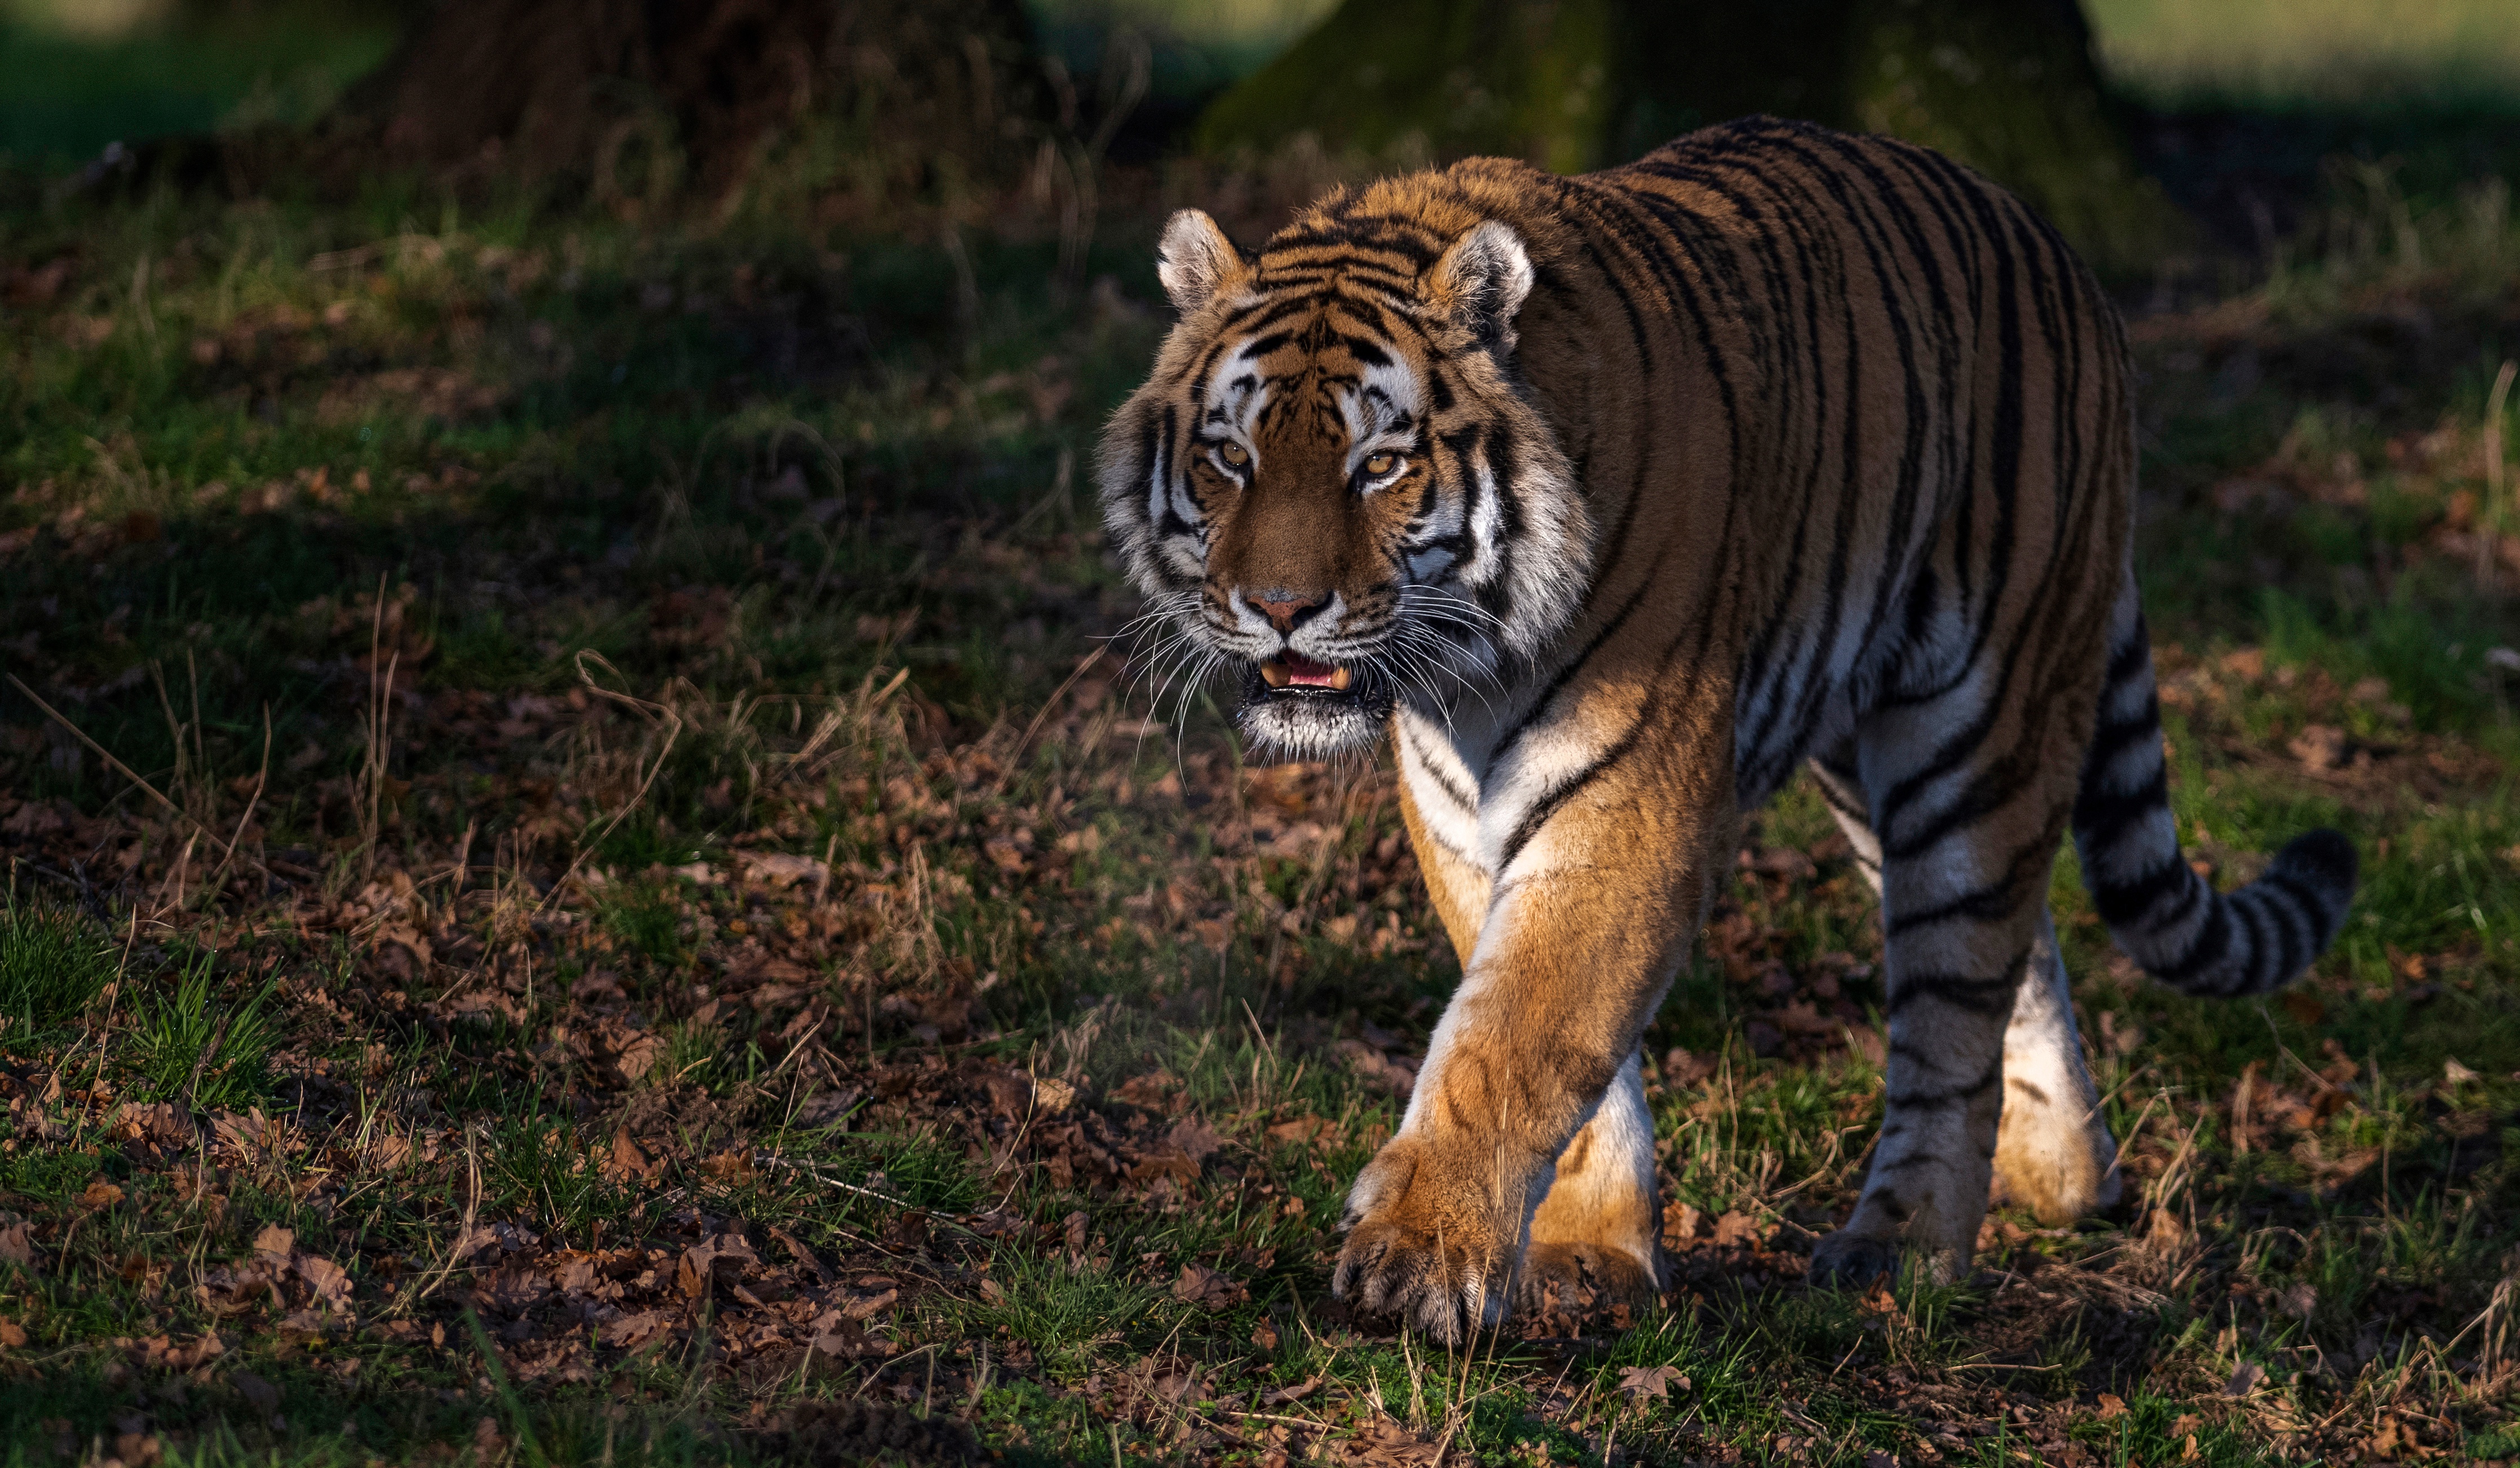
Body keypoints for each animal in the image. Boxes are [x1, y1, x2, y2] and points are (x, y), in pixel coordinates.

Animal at [1093, 114, 2348, 1340]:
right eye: (1231, 457)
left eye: (1381, 464)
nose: (1281, 608)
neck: (1470, 666)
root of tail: (2054, 247)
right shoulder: (1459, 813)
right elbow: (1554, 1032)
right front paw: (1590, 1251)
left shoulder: (1629, 795)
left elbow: (1520, 1031)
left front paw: (1419, 1256)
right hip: (1875, 763)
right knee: (2016, 947)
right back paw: (2063, 1178)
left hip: (1978, 721)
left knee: (1954, 1000)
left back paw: (1903, 1249)